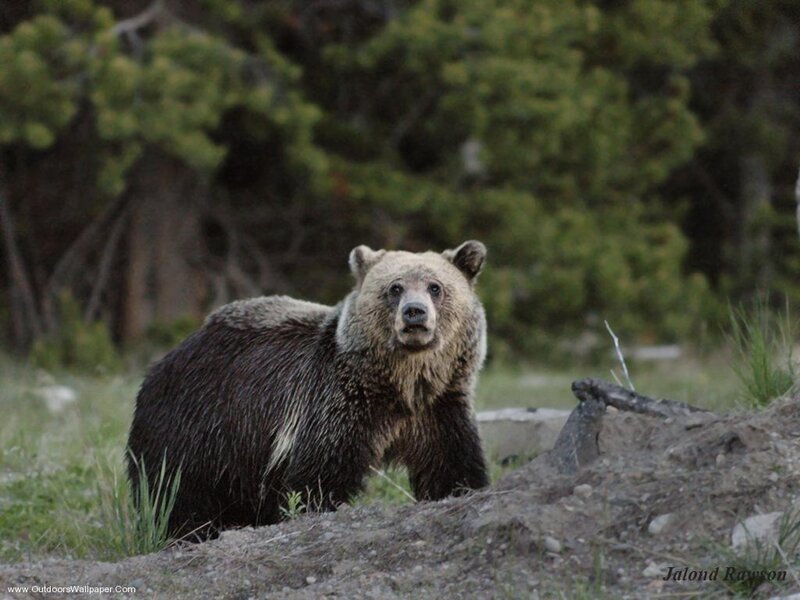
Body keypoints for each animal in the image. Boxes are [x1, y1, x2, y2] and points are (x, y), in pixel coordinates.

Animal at [127, 240, 490, 539]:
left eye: (435, 287)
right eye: (395, 287)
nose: (415, 313)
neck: (400, 386)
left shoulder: (439, 406)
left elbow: (452, 464)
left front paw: (462, 490)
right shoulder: (336, 402)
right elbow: (318, 473)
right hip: (196, 423)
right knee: (174, 489)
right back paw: (190, 531)